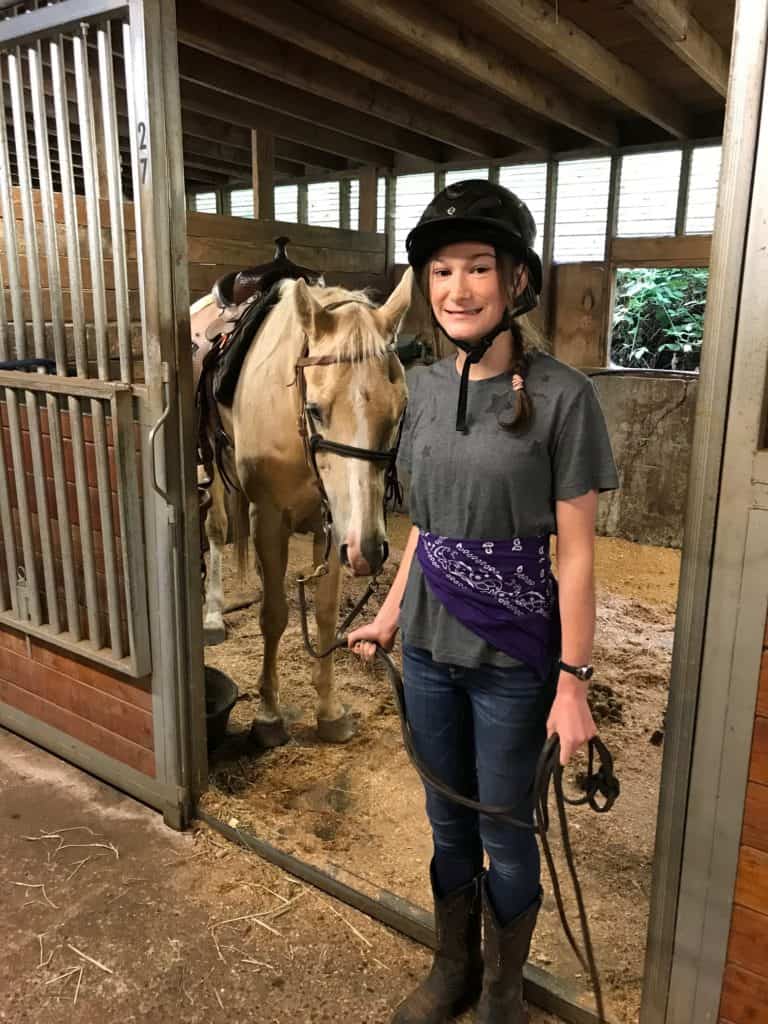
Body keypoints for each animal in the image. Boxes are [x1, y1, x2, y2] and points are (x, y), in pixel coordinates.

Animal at [191, 274, 411, 745]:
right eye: (316, 409)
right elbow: (274, 616)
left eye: (398, 411)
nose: (369, 550)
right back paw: (214, 614)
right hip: (210, 464)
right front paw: (269, 715)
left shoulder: (338, 527)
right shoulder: (269, 518)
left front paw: (329, 711)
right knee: (216, 530)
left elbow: (326, 616)